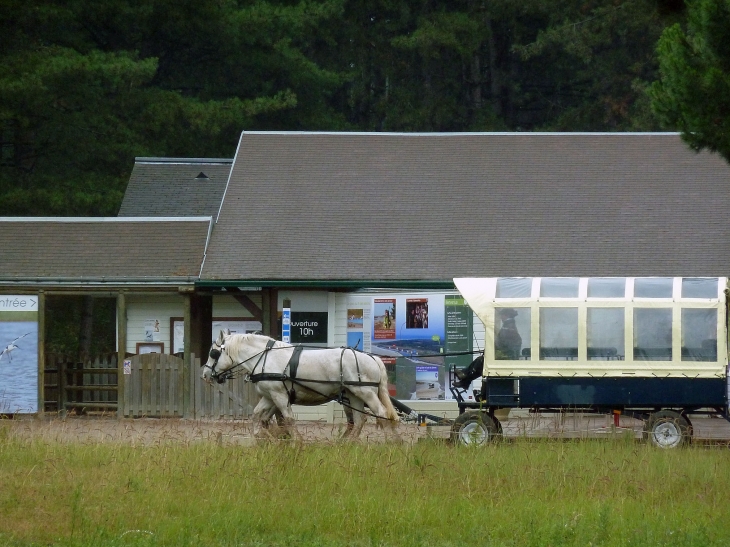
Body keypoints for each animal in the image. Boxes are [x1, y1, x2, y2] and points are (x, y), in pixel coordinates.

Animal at [200, 330, 398, 440]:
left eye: (213, 353)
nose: (205, 375)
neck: (265, 357)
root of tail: (373, 358)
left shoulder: (279, 395)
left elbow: (288, 419)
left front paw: (297, 442)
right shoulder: (269, 396)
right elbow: (257, 417)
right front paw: (265, 438)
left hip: (366, 392)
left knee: (381, 414)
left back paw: (390, 442)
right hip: (353, 394)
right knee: (359, 420)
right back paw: (349, 445)